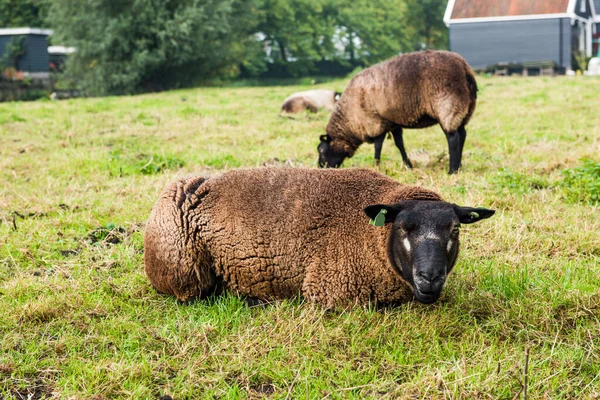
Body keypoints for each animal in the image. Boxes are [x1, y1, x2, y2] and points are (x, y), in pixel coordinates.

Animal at [318, 50, 478, 173]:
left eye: (321, 151)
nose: (319, 167)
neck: (351, 118)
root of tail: (464, 67)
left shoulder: (376, 122)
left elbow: (378, 146)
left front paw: (376, 166)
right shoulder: (392, 123)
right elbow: (399, 144)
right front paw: (408, 165)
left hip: (447, 106)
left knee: (453, 138)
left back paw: (452, 170)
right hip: (464, 108)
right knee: (462, 134)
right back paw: (459, 166)